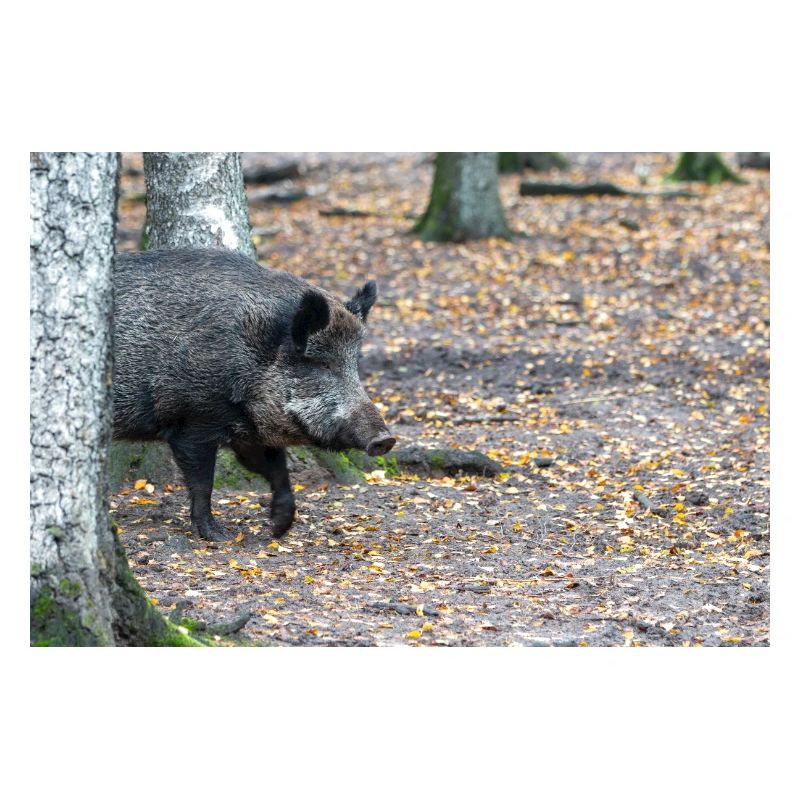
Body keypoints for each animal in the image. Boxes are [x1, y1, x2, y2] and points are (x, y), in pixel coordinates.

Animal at [112, 247, 395, 541]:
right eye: (323, 363)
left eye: (355, 364)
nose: (386, 439)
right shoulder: (193, 421)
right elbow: (203, 482)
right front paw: (218, 536)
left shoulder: (248, 431)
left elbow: (277, 471)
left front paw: (279, 528)